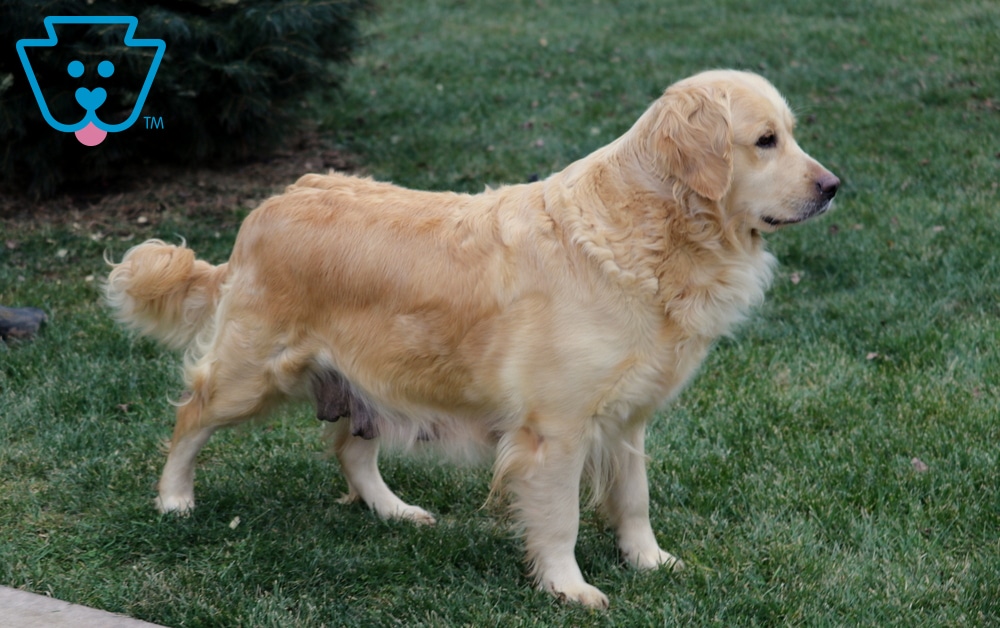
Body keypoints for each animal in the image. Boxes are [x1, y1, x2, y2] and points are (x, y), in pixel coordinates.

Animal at [105, 70, 839, 608]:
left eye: (791, 135)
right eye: (765, 140)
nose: (834, 186)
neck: (653, 229)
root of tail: (272, 202)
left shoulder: (628, 419)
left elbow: (634, 499)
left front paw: (650, 561)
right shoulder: (556, 430)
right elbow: (561, 518)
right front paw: (568, 587)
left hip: (372, 382)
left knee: (348, 448)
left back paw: (395, 511)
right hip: (252, 372)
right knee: (192, 415)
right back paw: (174, 499)